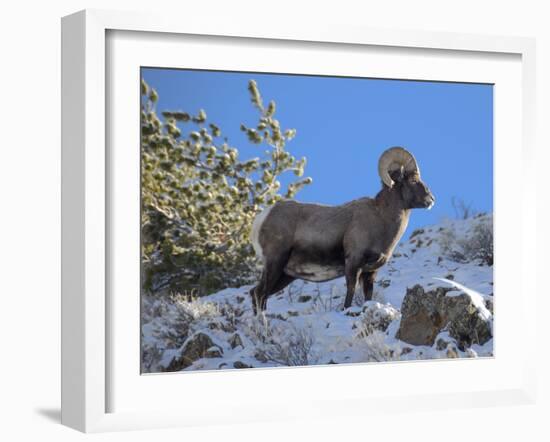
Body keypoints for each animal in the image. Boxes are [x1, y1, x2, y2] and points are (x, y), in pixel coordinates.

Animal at [250, 147, 436, 312]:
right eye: (413, 180)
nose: (431, 199)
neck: (381, 219)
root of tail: (262, 218)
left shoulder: (370, 272)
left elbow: (368, 296)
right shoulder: (354, 263)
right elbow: (350, 293)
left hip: (286, 275)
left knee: (257, 294)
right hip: (275, 262)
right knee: (260, 294)